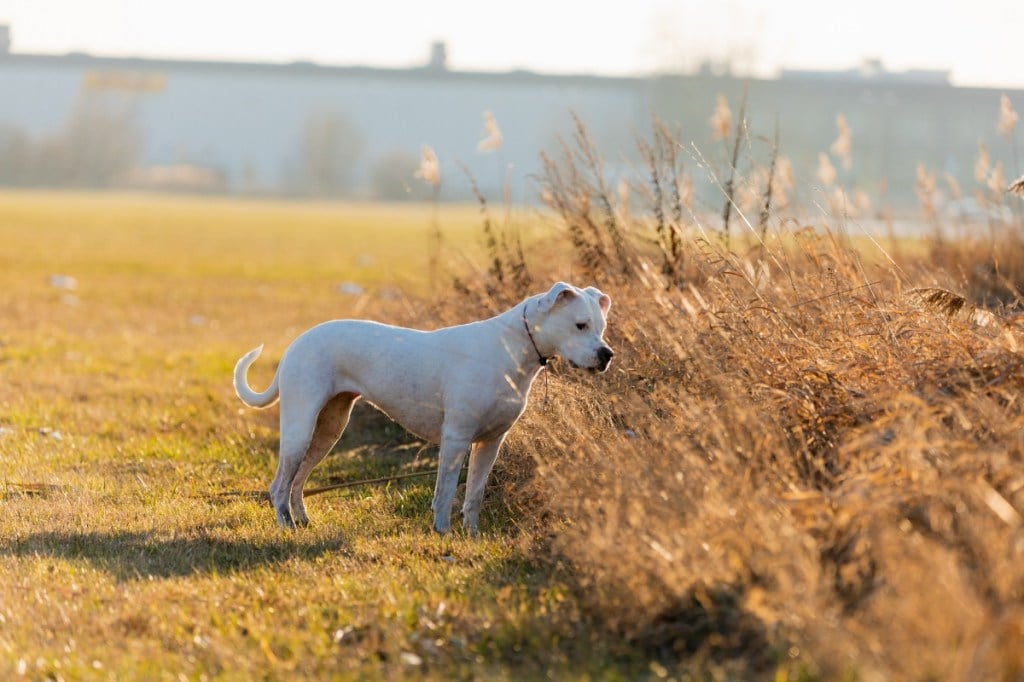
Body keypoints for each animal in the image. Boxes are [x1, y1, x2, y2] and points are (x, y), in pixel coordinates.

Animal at [234, 280, 610, 532]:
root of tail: (297, 343)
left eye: (602, 327)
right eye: (580, 325)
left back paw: (301, 519)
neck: (513, 347)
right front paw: (442, 533)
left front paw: (472, 536)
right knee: (280, 485)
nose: (607, 355)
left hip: (329, 429)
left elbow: (474, 495)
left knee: (298, 481)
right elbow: (445, 492)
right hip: (300, 428)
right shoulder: (456, 439)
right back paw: (286, 525)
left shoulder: (490, 443)